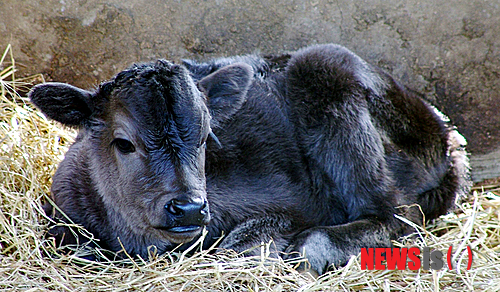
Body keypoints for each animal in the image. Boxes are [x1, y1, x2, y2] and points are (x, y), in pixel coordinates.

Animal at [30, 44, 468, 274]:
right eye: (124, 143)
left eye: (206, 137)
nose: (189, 208)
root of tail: (446, 132)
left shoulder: (293, 205)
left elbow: (239, 246)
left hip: (328, 70)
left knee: (395, 216)